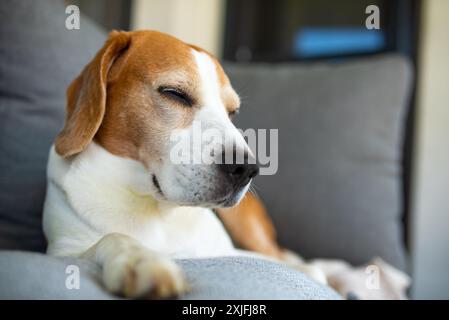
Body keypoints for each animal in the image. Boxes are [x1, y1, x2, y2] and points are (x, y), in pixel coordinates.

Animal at [43, 31, 324, 298]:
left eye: (232, 112)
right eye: (174, 94)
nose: (246, 169)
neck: (154, 208)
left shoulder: (227, 251)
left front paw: (311, 270)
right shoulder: (64, 249)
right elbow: (113, 238)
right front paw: (141, 260)